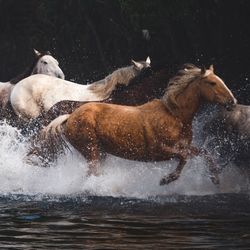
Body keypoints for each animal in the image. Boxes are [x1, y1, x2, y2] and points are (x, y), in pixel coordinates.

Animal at [27, 64, 236, 186]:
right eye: (212, 83)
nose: (232, 102)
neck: (175, 115)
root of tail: (69, 117)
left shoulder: (183, 146)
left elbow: (204, 153)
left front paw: (216, 178)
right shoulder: (161, 150)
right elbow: (184, 157)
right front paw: (166, 180)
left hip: (100, 152)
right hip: (91, 150)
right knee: (91, 174)